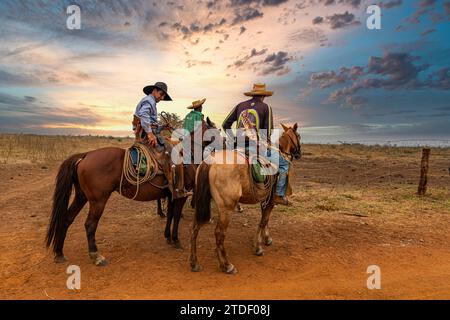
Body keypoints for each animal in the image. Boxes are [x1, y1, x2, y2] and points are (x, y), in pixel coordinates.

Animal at [46, 117, 216, 264]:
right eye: (216, 130)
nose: (222, 146)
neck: (187, 155)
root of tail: (85, 155)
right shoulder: (181, 195)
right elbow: (175, 215)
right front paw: (175, 240)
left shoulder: (171, 194)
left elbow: (170, 215)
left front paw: (168, 237)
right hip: (97, 201)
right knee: (90, 224)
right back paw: (96, 255)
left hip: (82, 197)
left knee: (66, 219)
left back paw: (59, 253)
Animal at [188, 124, 300, 274]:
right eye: (298, 136)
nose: (299, 153)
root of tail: (210, 162)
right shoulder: (270, 201)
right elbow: (263, 221)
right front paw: (258, 247)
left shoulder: (265, 200)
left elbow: (265, 220)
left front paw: (266, 238)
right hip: (226, 208)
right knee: (219, 233)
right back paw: (226, 265)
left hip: (202, 204)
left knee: (194, 228)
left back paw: (194, 263)